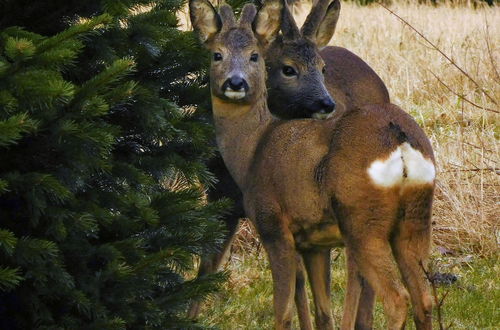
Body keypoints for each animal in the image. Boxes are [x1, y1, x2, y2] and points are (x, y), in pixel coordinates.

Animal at [189, 0, 436, 328]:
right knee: (424, 297)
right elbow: (320, 306)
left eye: (255, 56)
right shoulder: (313, 242)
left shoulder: (273, 225)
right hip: (415, 218)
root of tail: (400, 140)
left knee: (395, 297)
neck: (252, 148)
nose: (235, 82)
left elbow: (283, 311)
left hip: (361, 220)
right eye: (217, 54)